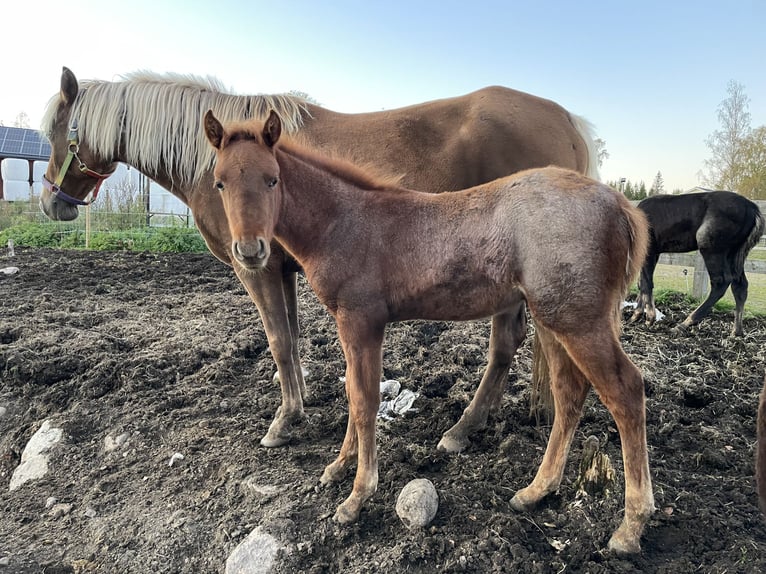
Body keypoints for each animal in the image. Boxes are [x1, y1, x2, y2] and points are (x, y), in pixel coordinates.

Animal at [40, 66, 599, 448]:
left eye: (53, 132)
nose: (50, 202)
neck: (215, 162)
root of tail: (568, 122)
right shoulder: (282, 268)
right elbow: (291, 338)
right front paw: (302, 400)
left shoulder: (256, 266)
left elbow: (278, 341)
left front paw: (284, 421)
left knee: (506, 344)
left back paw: (464, 428)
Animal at [203, 110, 654, 554]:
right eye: (220, 182)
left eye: (272, 179)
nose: (250, 251)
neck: (344, 222)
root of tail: (621, 205)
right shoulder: (349, 325)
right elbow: (352, 392)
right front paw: (338, 467)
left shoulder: (362, 321)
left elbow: (364, 400)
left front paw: (356, 496)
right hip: (553, 319)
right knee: (569, 392)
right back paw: (535, 491)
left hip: (580, 321)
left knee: (625, 391)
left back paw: (630, 527)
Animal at [630, 191, 764, 336]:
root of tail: (752, 208)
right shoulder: (654, 253)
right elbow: (641, 282)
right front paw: (636, 314)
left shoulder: (649, 251)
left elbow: (646, 283)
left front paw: (648, 317)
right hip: (735, 254)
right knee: (740, 286)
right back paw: (737, 331)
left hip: (711, 249)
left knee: (721, 282)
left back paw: (684, 324)